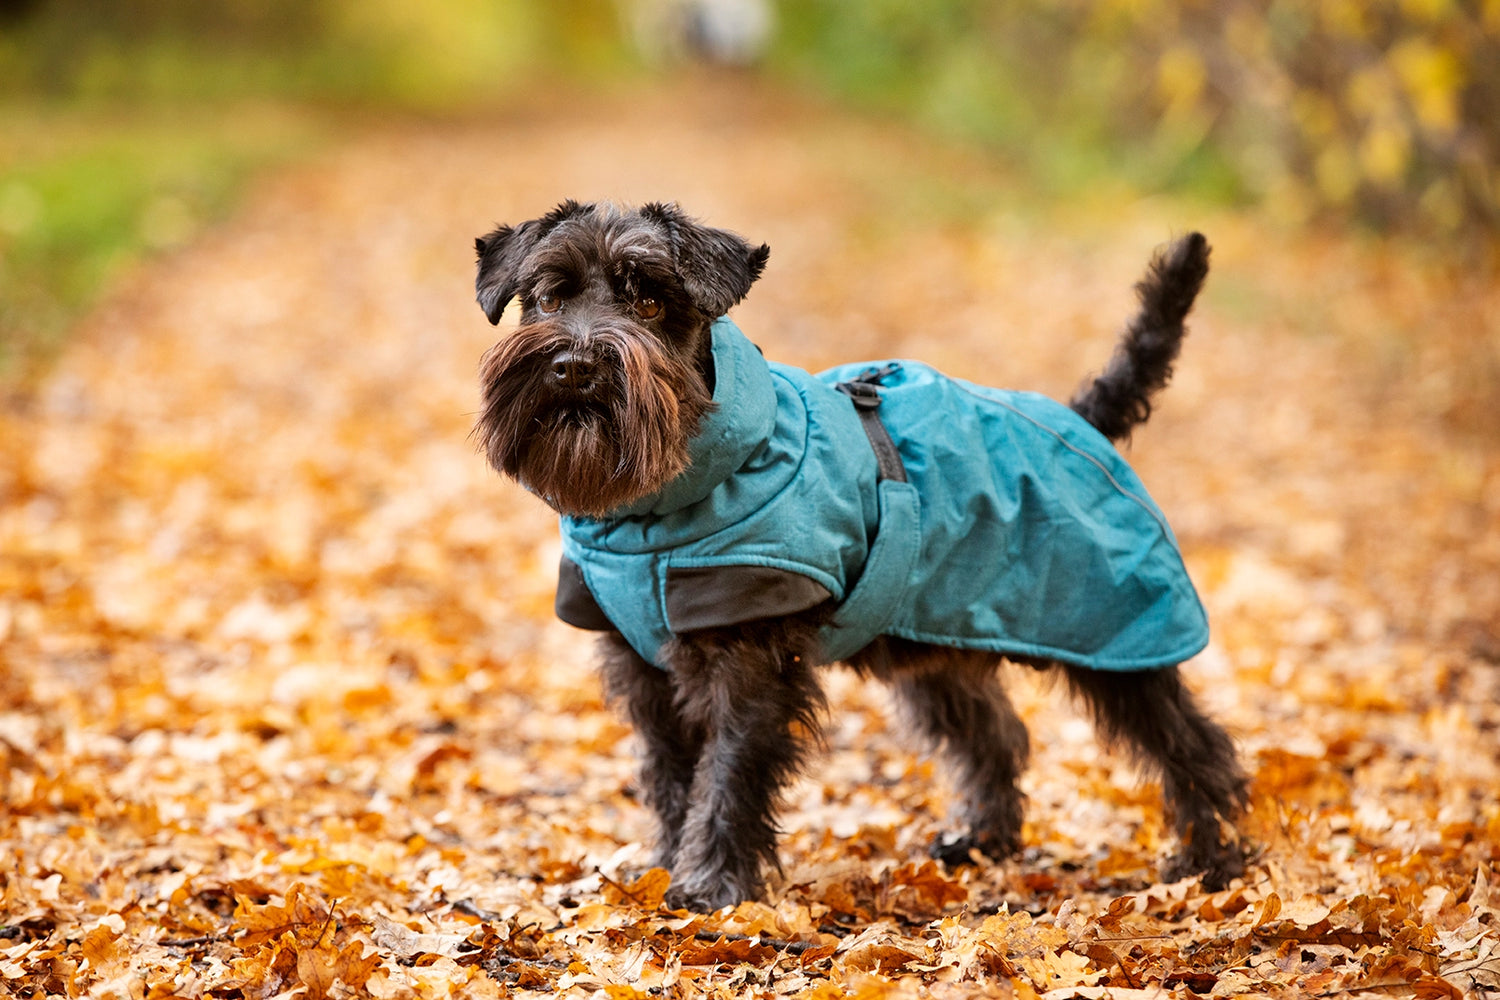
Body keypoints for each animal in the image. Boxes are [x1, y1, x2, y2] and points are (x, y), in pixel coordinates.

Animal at [474, 199, 1248, 911]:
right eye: (549, 296)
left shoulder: (747, 666)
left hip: (1119, 634)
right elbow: (669, 774)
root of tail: (1084, 419)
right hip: (940, 638)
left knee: (1191, 743)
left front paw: (711, 886)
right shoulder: (642, 668)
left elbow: (725, 774)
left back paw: (1212, 863)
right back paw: (981, 842)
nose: (575, 364)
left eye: (650, 299)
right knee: (994, 733)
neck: (652, 512)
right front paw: (665, 867)